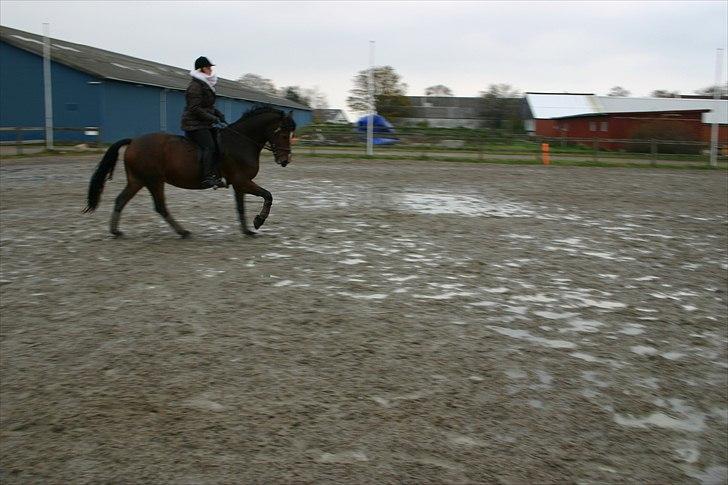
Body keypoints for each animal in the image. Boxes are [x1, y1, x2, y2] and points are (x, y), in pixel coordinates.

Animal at [82, 106, 292, 236]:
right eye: (283, 133)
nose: (285, 160)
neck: (240, 141)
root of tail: (133, 141)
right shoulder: (242, 181)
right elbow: (268, 195)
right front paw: (259, 221)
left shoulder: (239, 184)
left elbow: (241, 207)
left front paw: (247, 230)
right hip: (153, 180)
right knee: (160, 206)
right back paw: (182, 232)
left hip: (138, 180)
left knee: (121, 200)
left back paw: (116, 231)